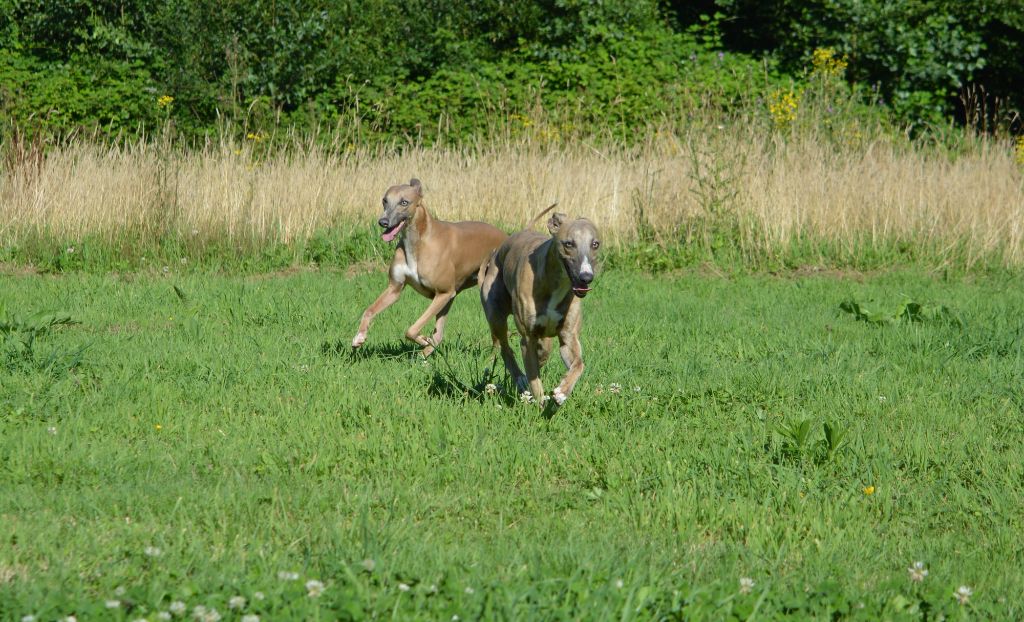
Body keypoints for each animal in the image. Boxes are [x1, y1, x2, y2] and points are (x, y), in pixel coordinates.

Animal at [354, 177, 509, 358]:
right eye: (385, 200)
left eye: (404, 202)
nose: (383, 222)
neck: (418, 241)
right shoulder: (395, 289)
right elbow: (369, 310)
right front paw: (359, 337)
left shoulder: (443, 293)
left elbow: (411, 329)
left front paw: (423, 340)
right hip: (451, 299)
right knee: (440, 334)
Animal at [479, 206, 598, 405]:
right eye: (569, 243)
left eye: (595, 244)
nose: (586, 277)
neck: (556, 283)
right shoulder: (527, 338)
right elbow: (534, 378)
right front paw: (539, 400)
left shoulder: (568, 337)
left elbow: (579, 364)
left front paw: (562, 391)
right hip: (496, 315)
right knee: (505, 348)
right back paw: (520, 378)